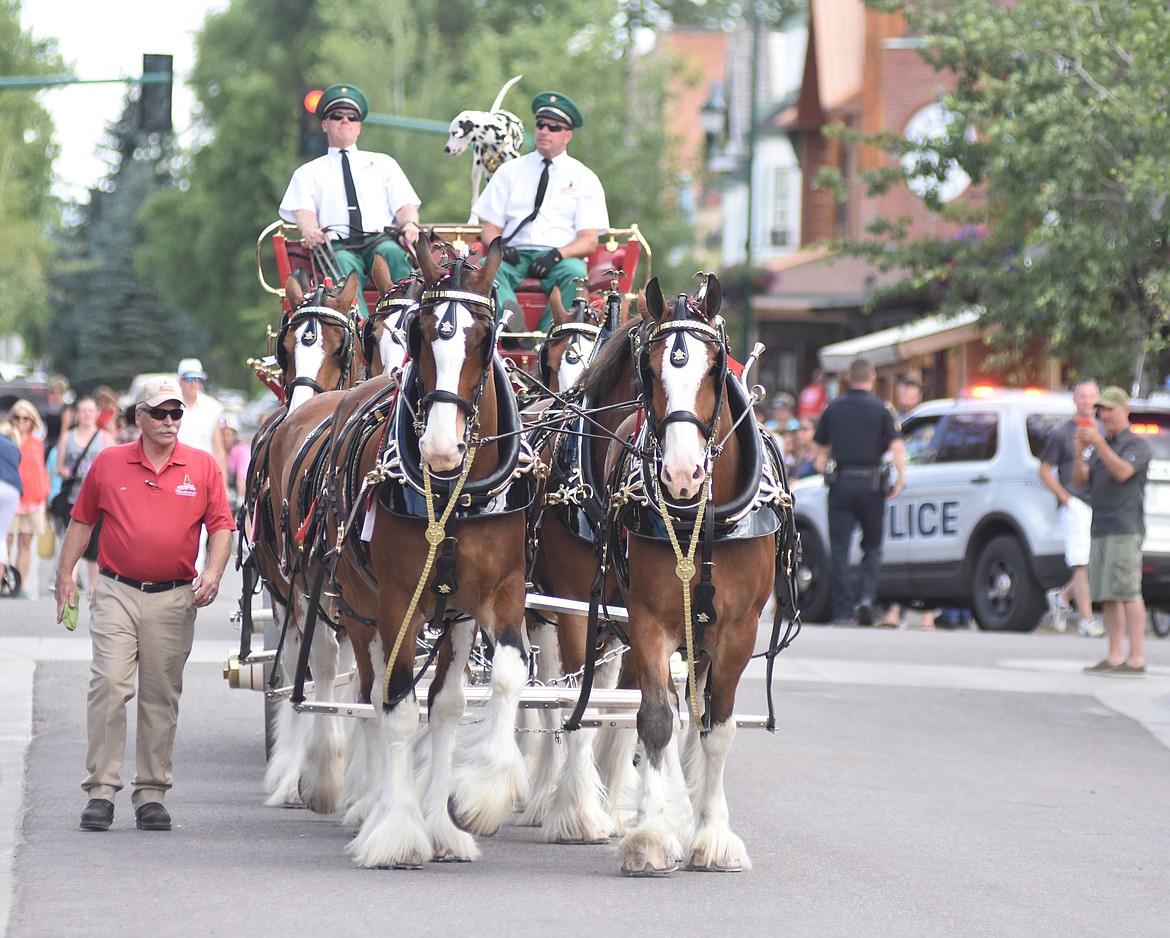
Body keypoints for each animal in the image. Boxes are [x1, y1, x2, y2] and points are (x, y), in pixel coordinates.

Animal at [442, 74, 526, 221]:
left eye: (454, 133)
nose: (446, 149)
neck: (496, 135)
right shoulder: (489, 173)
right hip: (476, 170)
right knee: (475, 198)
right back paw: (473, 221)